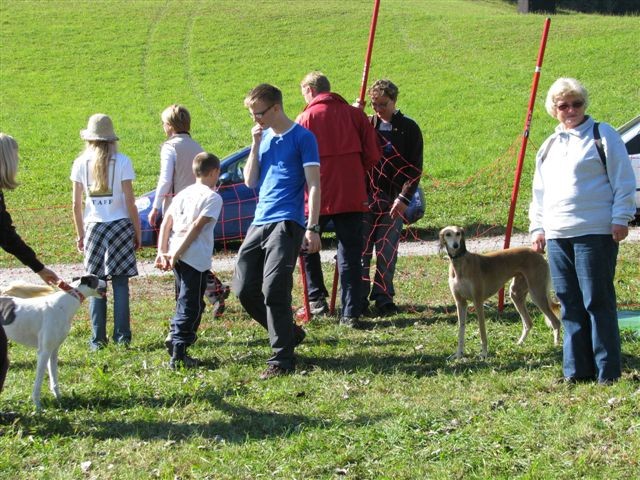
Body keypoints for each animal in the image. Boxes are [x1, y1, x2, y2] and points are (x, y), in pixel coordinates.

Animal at [0, 276, 107, 410]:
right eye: (96, 279)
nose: (106, 282)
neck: (63, 304)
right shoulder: (44, 352)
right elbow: (38, 382)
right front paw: (38, 406)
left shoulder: (54, 350)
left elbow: (54, 377)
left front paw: (59, 398)